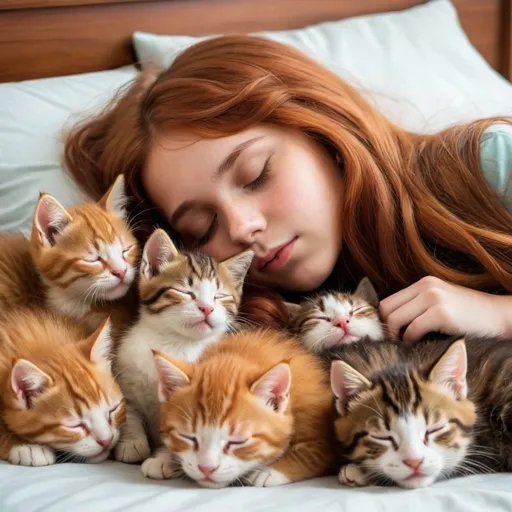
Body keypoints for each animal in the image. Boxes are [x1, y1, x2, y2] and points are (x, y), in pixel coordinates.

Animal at [114, 231, 254, 480]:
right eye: (185, 291)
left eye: (220, 296)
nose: (207, 308)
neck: (176, 342)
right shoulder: (128, 371)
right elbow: (129, 408)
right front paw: (131, 442)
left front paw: (162, 460)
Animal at [152, 330, 336, 490]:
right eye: (187, 436)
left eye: (238, 441)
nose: (206, 468)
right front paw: (162, 458)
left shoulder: (322, 430)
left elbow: (312, 455)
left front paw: (269, 472)